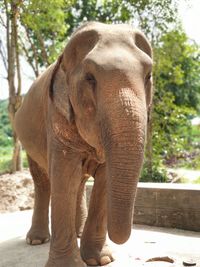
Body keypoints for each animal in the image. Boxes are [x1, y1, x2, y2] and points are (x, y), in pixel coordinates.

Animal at [14, 21, 152, 267]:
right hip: (27, 139)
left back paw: (76, 234)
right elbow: (63, 176)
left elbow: (104, 178)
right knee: (43, 181)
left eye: (148, 75)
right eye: (90, 78)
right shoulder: (56, 115)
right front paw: (70, 264)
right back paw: (36, 240)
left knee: (78, 183)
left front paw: (101, 260)